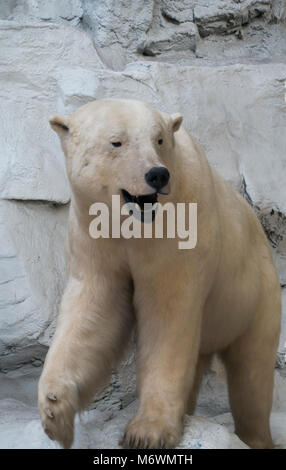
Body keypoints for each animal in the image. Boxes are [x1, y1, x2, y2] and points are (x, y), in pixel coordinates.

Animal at [38, 98, 282, 448]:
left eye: (160, 140)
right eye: (117, 142)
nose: (156, 174)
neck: (135, 226)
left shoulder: (179, 235)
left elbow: (168, 316)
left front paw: (147, 431)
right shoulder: (94, 241)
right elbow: (95, 311)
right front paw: (54, 409)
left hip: (256, 294)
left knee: (252, 371)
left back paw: (254, 437)